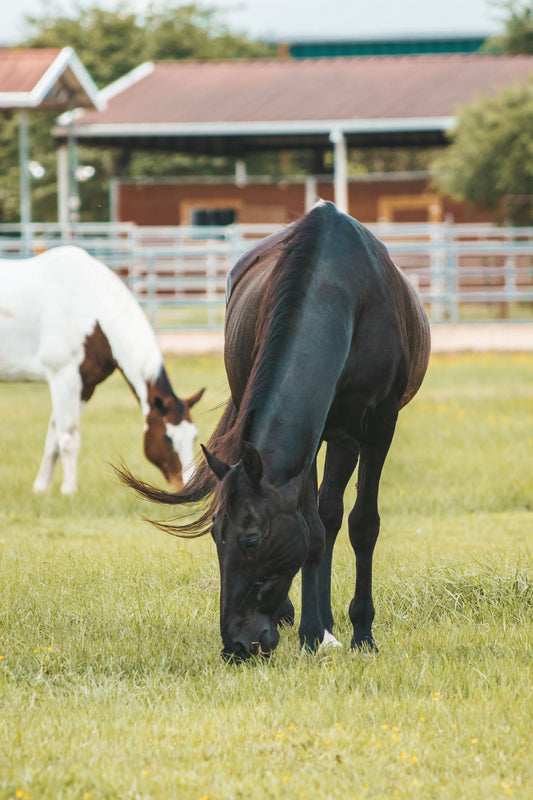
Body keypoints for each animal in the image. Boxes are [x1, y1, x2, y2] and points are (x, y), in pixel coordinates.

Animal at [0, 245, 204, 494]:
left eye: (193, 437)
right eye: (167, 437)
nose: (187, 485)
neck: (90, 307)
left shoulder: (85, 386)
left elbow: (53, 438)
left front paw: (41, 490)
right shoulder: (63, 377)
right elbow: (68, 438)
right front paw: (68, 491)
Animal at [121, 202, 430, 660]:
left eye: (250, 541)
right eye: (215, 537)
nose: (236, 644)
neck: (340, 292)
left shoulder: (378, 425)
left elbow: (362, 524)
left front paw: (362, 633)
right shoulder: (312, 436)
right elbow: (313, 530)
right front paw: (312, 633)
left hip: (347, 438)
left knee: (333, 513)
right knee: (322, 516)